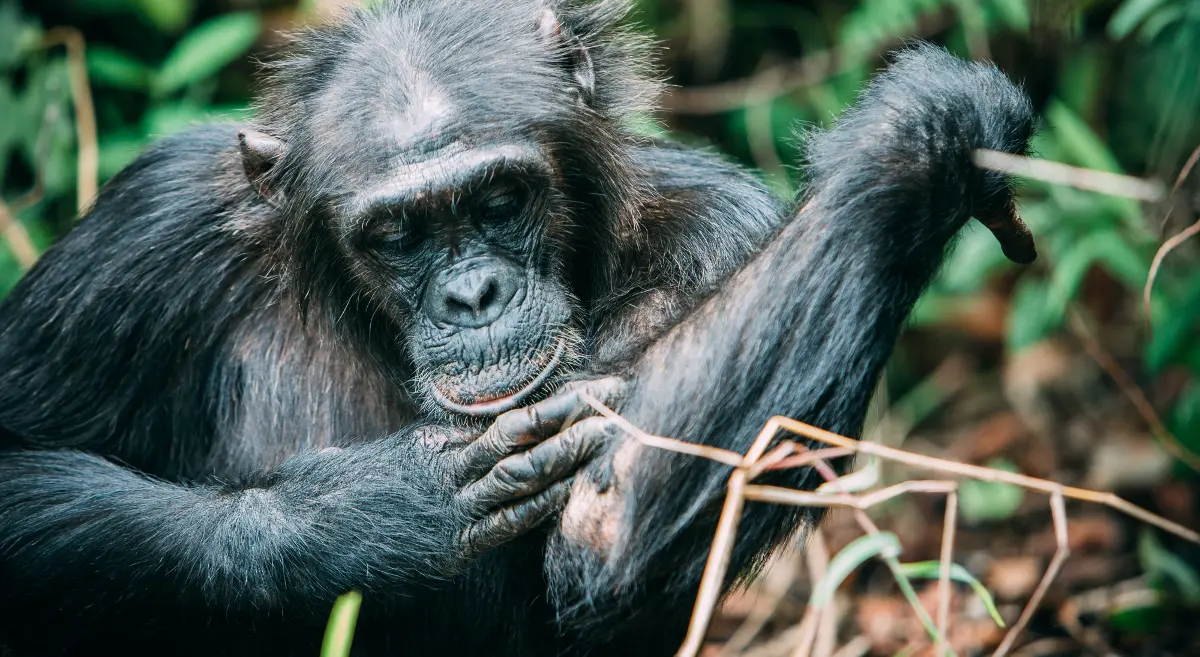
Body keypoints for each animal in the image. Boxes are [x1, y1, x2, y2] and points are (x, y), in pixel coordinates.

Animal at [0, 1, 1036, 657]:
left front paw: (927, 132)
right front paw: (372, 511)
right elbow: (20, 455)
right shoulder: (154, 221)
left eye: (500, 199)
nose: (474, 294)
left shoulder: (721, 230)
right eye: (398, 234)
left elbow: (610, 519)